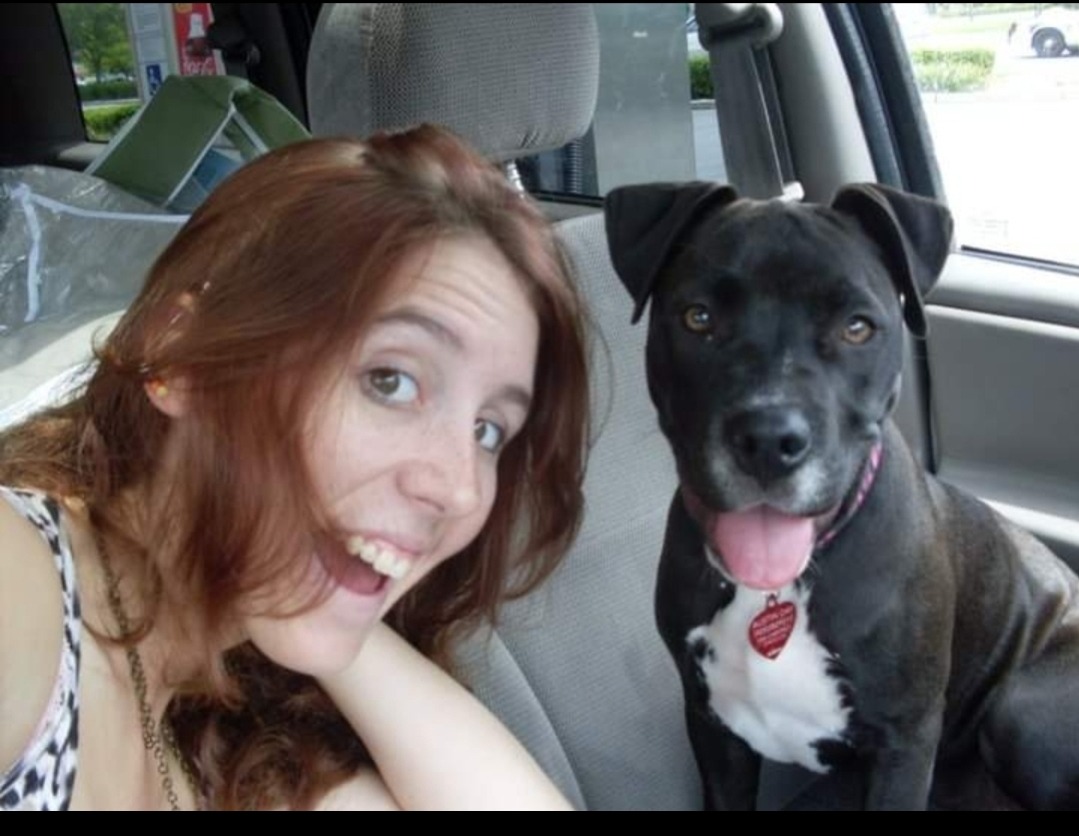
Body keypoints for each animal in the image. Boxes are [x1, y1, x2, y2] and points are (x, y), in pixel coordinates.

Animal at [603, 181, 1079, 810]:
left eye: (857, 328)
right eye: (697, 318)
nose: (768, 439)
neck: (774, 589)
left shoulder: (905, 743)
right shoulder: (714, 729)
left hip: (1020, 708)